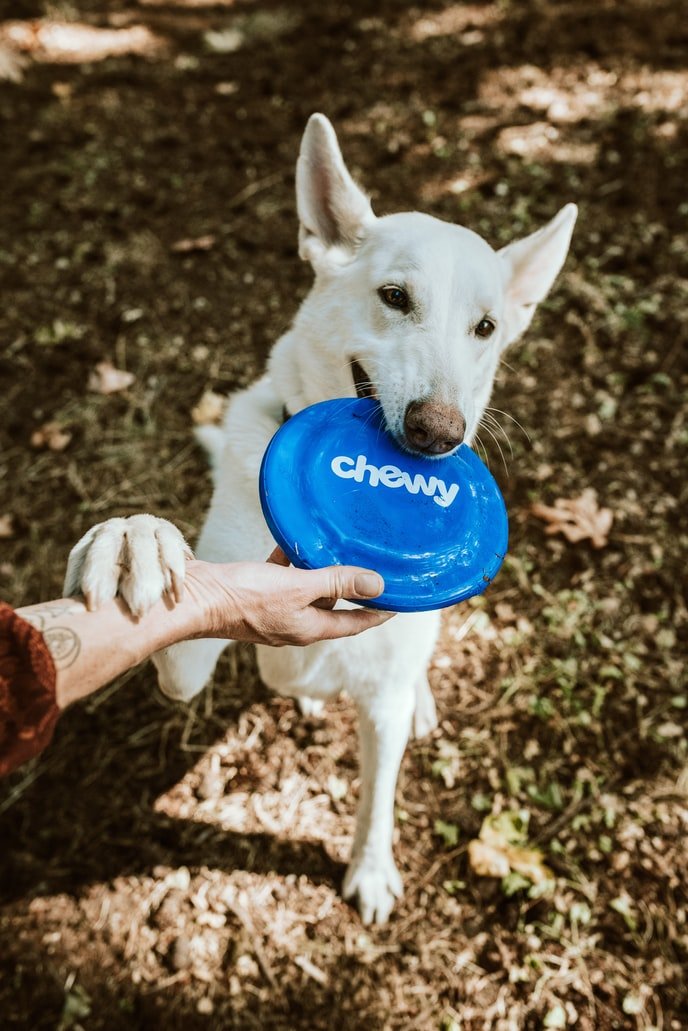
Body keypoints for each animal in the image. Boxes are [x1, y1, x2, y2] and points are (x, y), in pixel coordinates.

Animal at [67, 114, 577, 927]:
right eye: (394, 296)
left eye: (487, 327)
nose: (439, 434)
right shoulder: (208, 638)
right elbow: (178, 639)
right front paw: (133, 541)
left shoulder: (382, 702)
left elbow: (377, 796)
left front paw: (370, 870)